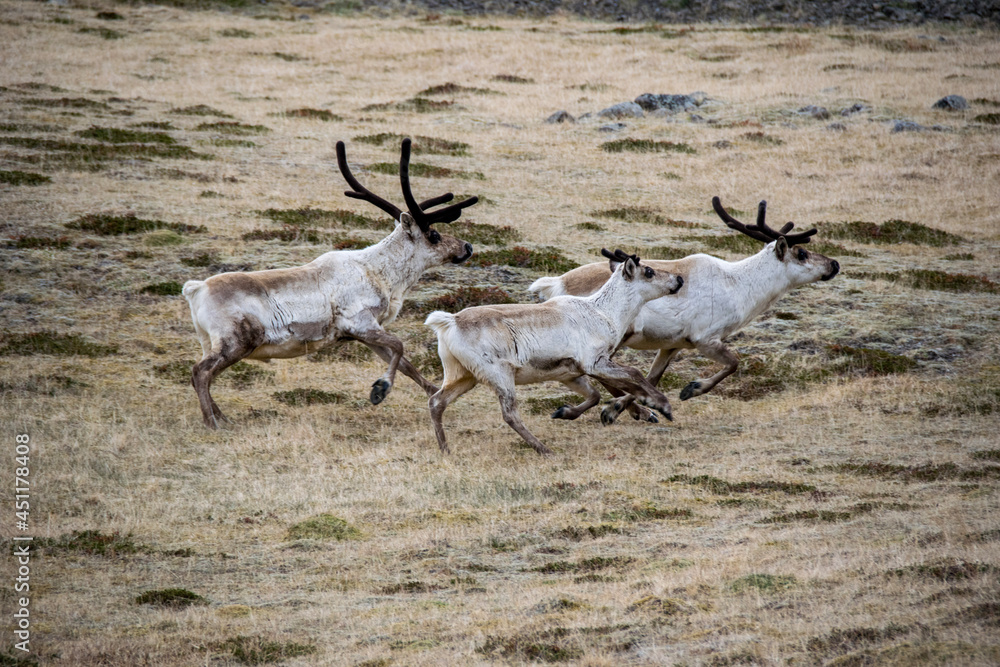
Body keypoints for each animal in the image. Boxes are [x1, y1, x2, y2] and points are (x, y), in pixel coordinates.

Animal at [183, 138, 479, 428]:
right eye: (434, 234)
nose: (467, 246)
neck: (382, 273)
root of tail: (195, 289)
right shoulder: (359, 322)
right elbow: (399, 346)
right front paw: (380, 389)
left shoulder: (364, 332)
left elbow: (405, 363)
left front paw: (433, 392)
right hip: (237, 340)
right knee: (200, 372)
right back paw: (212, 422)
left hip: (210, 340)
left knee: (204, 373)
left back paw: (223, 418)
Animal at [424, 249, 685, 455]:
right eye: (649, 271)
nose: (679, 278)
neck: (605, 312)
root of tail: (450, 321)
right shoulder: (594, 361)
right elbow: (634, 373)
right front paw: (661, 406)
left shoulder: (569, 373)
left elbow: (594, 396)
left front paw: (563, 412)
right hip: (499, 375)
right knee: (510, 415)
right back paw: (544, 449)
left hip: (463, 376)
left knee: (436, 401)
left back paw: (445, 450)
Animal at [528, 197, 840, 425]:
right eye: (802, 253)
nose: (834, 264)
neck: (740, 286)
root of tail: (556, 284)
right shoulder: (705, 338)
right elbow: (734, 363)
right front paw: (689, 390)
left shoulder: (672, 344)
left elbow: (652, 377)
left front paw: (626, 407)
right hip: (609, 340)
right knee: (597, 372)